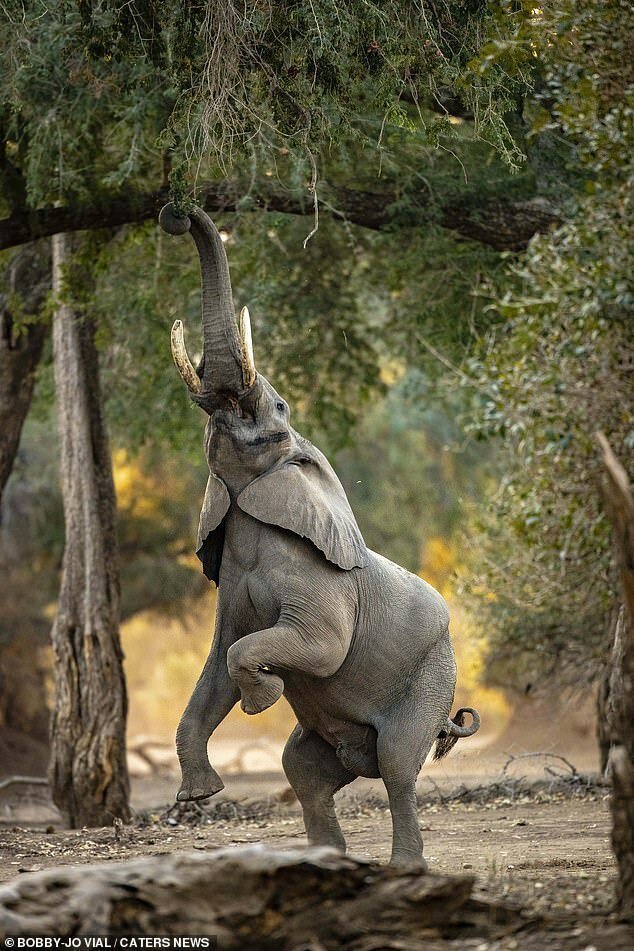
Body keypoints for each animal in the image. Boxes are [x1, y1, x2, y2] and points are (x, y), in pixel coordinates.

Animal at [158, 205, 478, 868]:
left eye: (279, 408)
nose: (173, 214)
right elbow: (216, 666)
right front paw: (198, 796)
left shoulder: (322, 586)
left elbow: (310, 648)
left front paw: (261, 698)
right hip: (340, 737)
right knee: (303, 769)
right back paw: (324, 861)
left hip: (431, 679)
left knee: (398, 767)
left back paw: (404, 867)